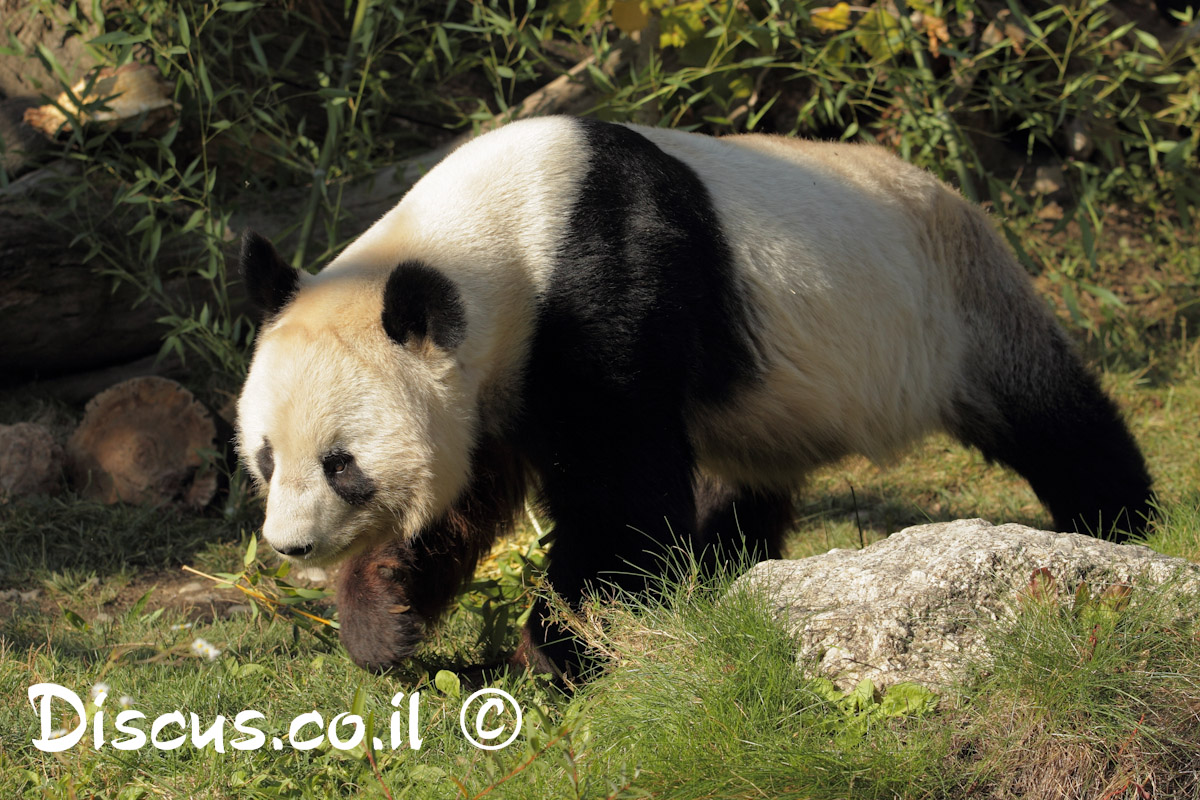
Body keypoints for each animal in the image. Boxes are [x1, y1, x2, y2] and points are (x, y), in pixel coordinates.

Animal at [234, 113, 1152, 676]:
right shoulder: (492, 373)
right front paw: (381, 614)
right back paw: (722, 572)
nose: (288, 546)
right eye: (267, 458)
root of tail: (951, 191)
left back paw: (1118, 521)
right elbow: (470, 493)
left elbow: (620, 494)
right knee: (738, 486)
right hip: (769, 404)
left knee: (1049, 413)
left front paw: (559, 647)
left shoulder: (604, 284)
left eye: (343, 463)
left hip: (953, 304)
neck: (499, 229)